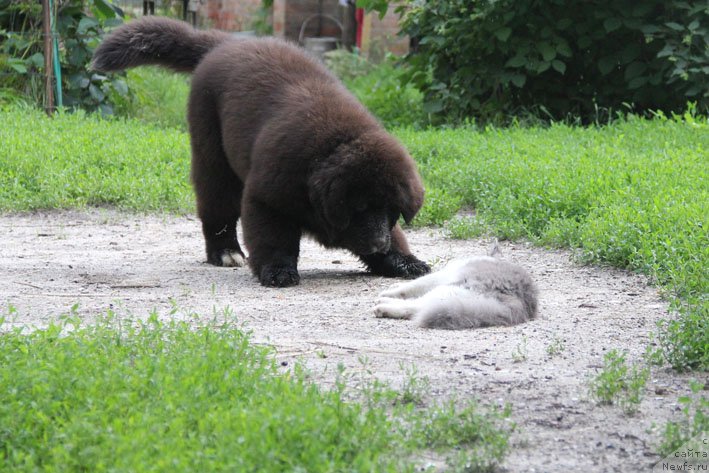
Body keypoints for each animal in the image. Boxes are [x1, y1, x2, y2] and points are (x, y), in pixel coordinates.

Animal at [91, 17, 428, 284]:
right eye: (358, 209)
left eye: (390, 209)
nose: (378, 245)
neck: (333, 147)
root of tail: (227, 42)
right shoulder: (269, 196)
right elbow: (273, 236)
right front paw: (278, 271)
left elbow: (398, 236)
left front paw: (404, 261)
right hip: (212, 153)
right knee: (217, 205)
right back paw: (225, 252)